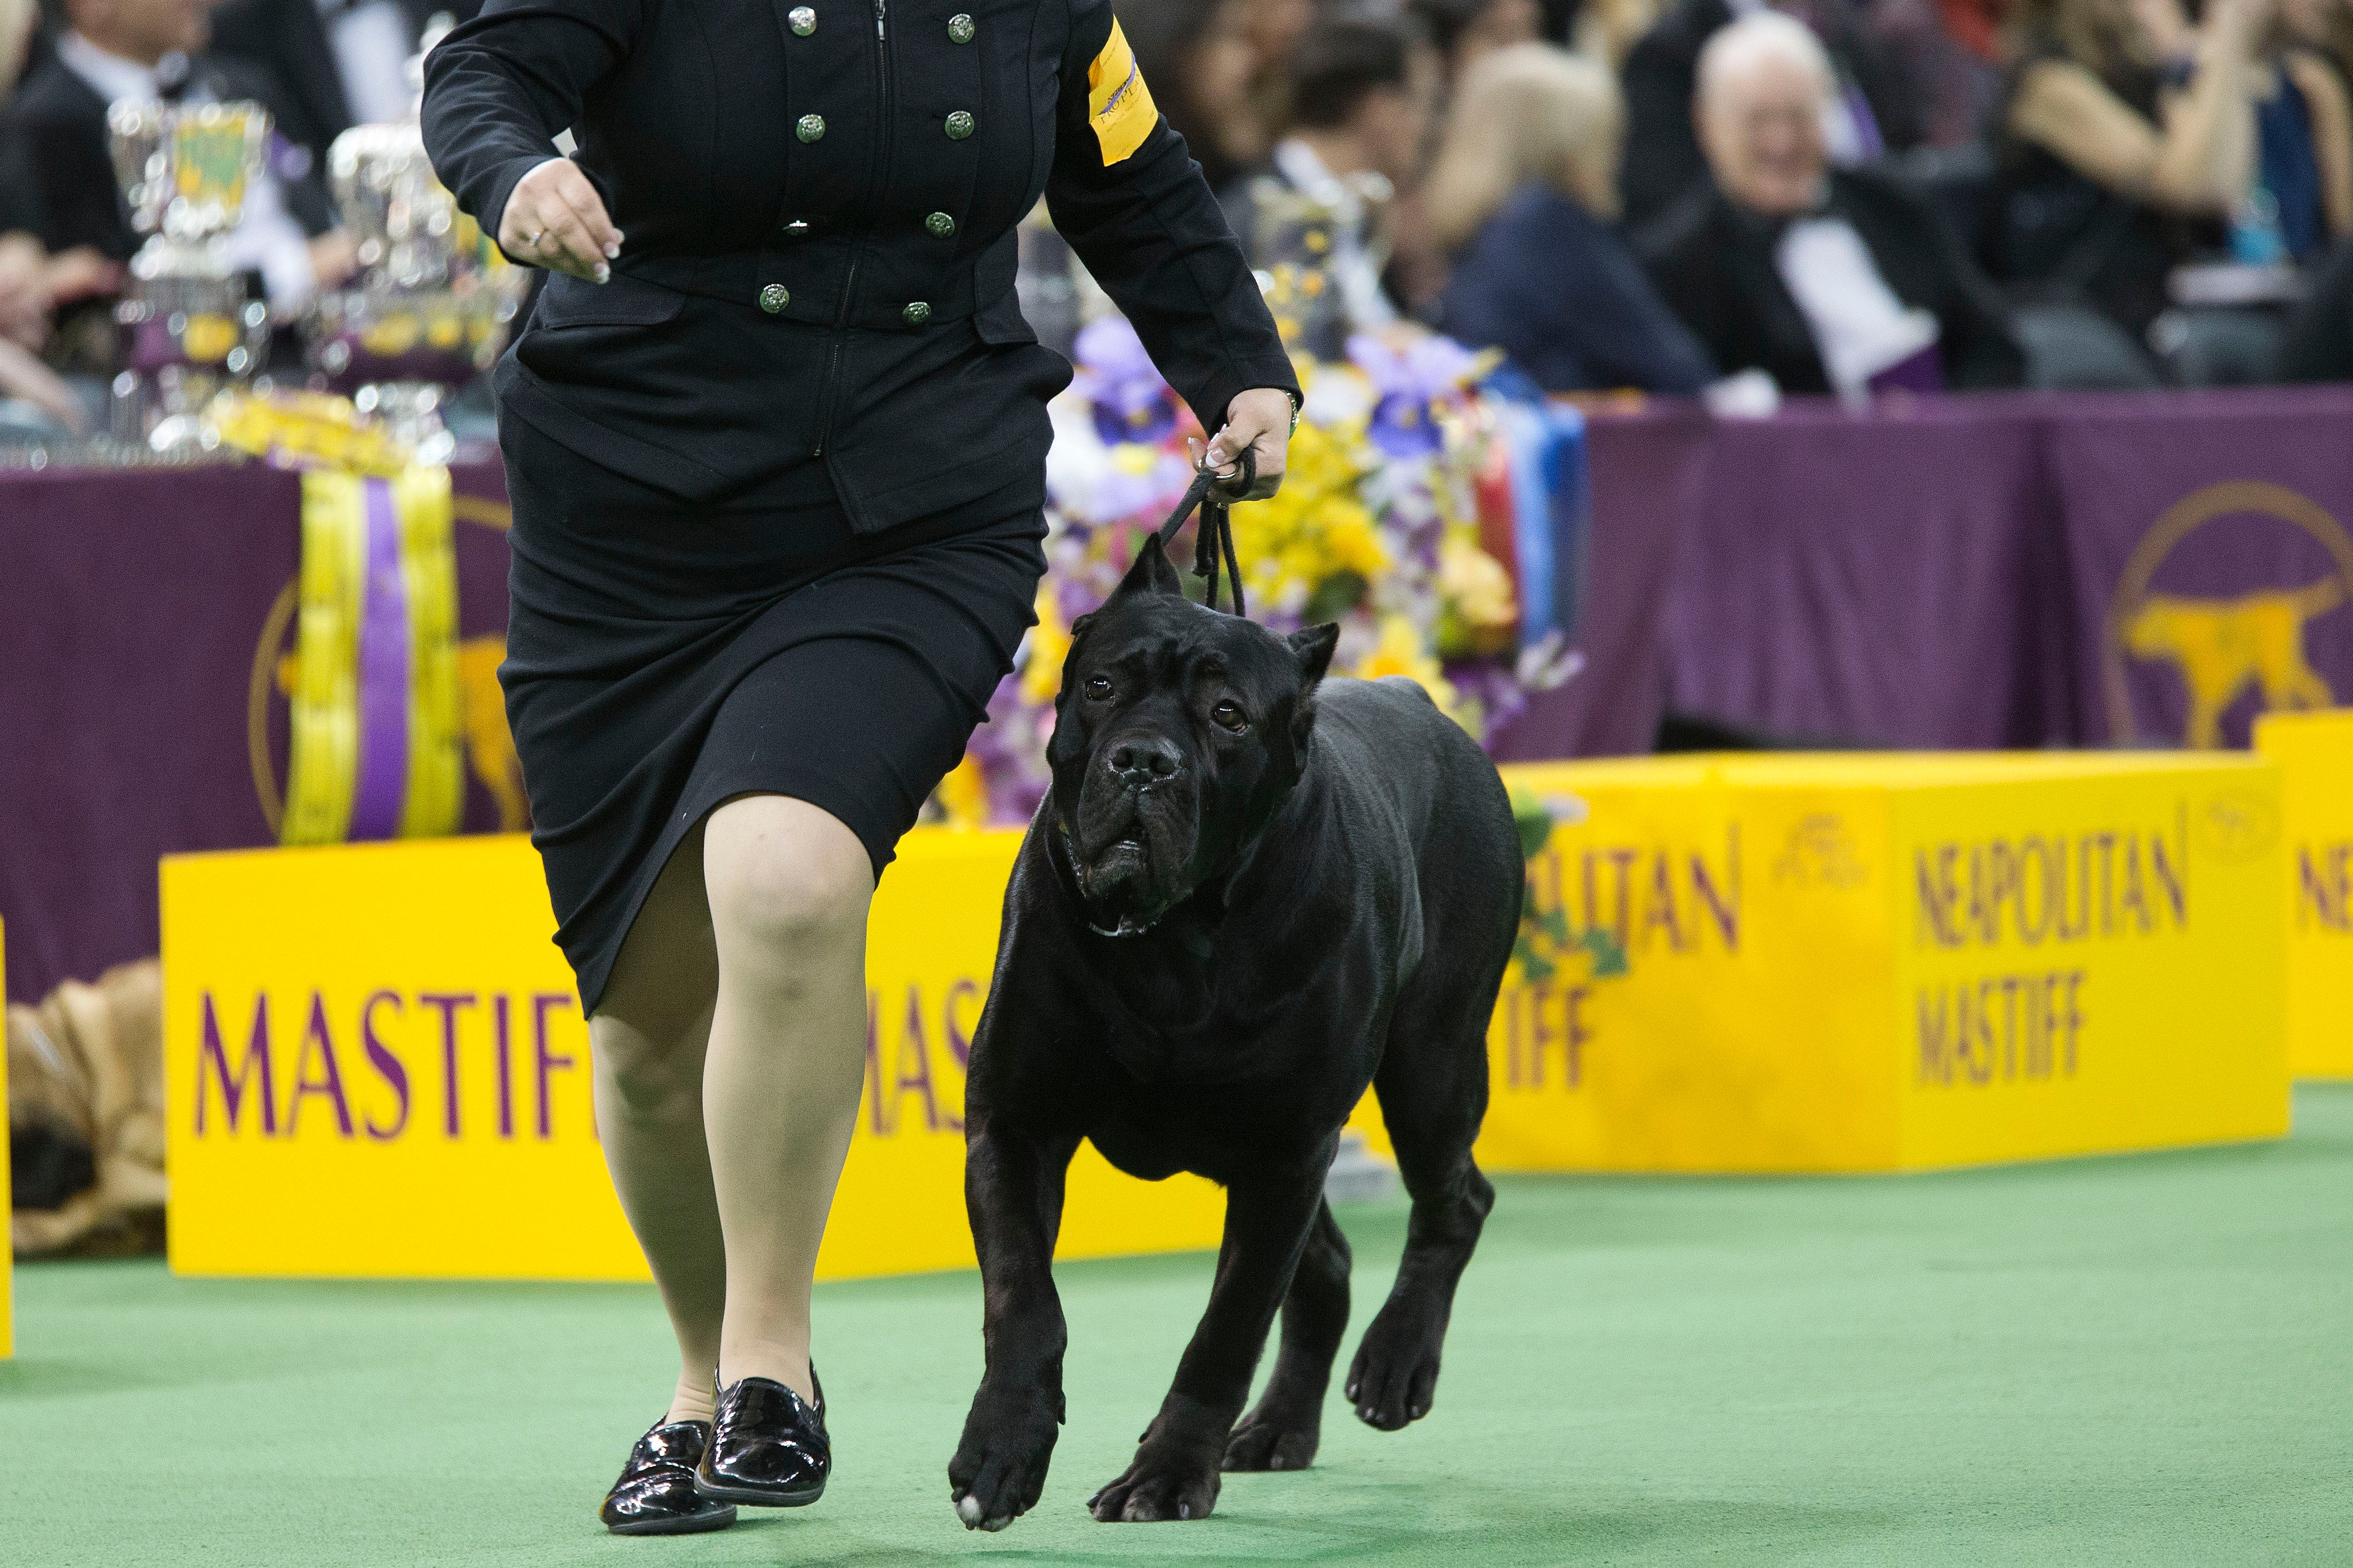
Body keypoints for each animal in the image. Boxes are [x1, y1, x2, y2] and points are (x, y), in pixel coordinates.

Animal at [950, 537, 1524, 1525]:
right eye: (1101, 686)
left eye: (1226, 716)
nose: (1143, 762)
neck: (1174, 936)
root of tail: (1417, 699)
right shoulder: (1016, 1121)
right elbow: (1023, 1298)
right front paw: (1001, 1447)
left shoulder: (1284, 1151)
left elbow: (1225, 1329)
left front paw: (1165, 1474)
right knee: (1327, 1263)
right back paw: (1278, 1426)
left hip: (1431, 1067)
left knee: (1455, 1201)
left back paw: (1395, 1363)